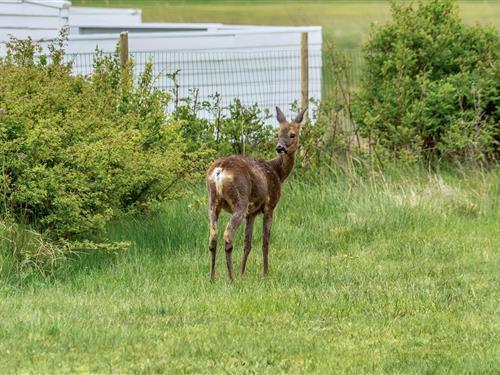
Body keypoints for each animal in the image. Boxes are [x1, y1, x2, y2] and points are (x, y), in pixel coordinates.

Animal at [205, 106, 306, 282]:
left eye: (292, 134)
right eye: (278, 133)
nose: (279, 148)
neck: (277, 172)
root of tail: (220, 170)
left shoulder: (251, 213)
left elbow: (247, 243)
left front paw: (243, 273)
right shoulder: (269, 206)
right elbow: (265, 241)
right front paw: (265, 273)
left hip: (212, 202)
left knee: (213, 237)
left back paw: (213, 278)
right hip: (240, 200)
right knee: (227, 235)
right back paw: (231, 278)